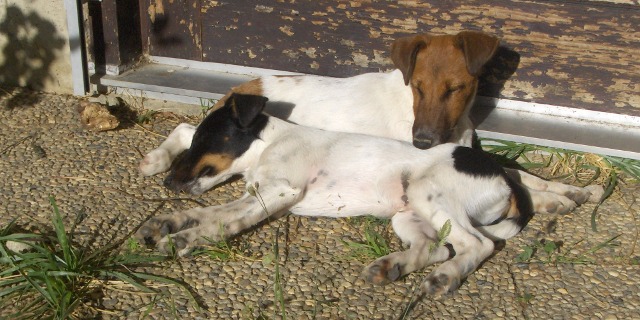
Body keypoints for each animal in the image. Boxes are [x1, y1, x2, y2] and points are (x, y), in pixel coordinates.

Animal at [135, 94, 600, 296]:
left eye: (202, 141)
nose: (167, 185)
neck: (268, 145)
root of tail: (498, 175)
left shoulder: (281, 191)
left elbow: (227, 218)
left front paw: (190, 236)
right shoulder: (261, 192)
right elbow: (215, 210)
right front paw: (170, 223)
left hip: (429, 194)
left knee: (478, 245)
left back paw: (446, 278)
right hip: (407, 212)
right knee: (438, 247)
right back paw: (391, 266)